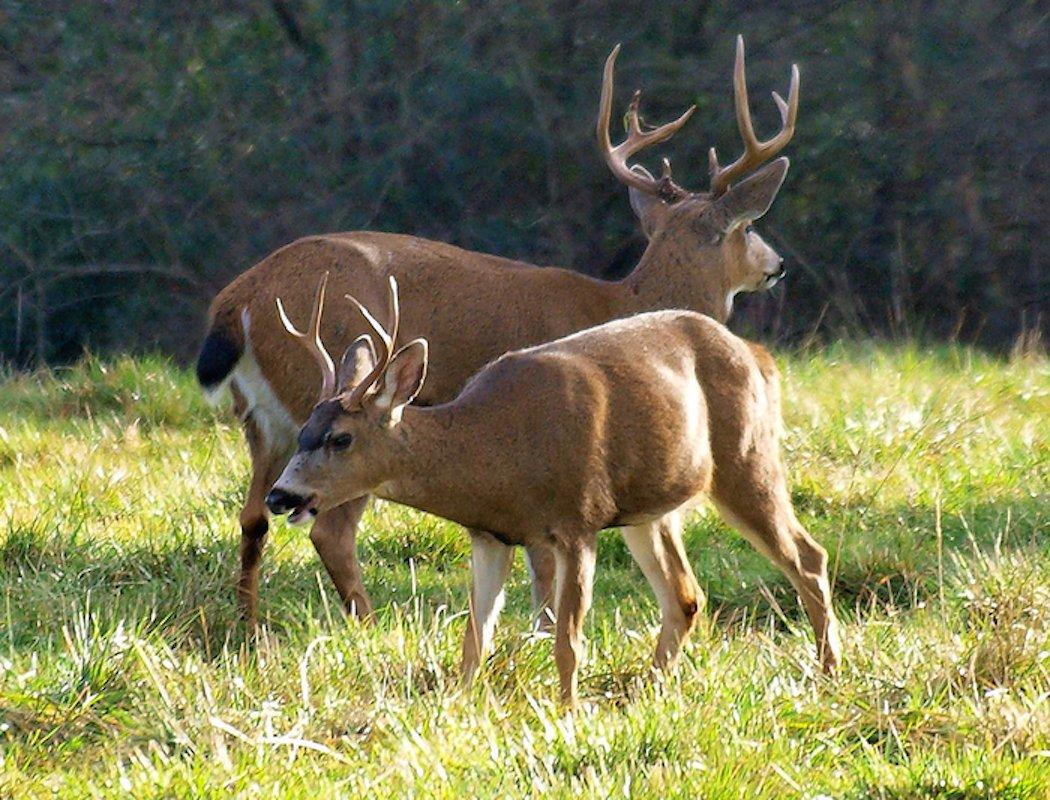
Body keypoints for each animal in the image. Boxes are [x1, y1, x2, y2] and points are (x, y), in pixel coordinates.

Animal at [197, 35, 797, 621]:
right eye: (749, 228)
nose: (778, 264)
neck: (626, 299)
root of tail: (238, 298)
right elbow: (544, 565)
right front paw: (538, 624)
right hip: (335, 405)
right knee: (329, 526)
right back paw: (365, 622)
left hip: (264, 420)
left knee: (254, 516)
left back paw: (249, 628)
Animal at [264, 277, 844, 701]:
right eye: (303, 430)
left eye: (341, 438)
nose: (279, 496)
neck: (494, 452)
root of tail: (758, 354)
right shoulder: (490, 534)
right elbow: (475, 637)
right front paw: (460, 704)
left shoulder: (576, 519)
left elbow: (567, 640)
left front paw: (567, 710)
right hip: (648, 510)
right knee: (686, 596)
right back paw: (649, 688)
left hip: (746, 458)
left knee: (807, 556)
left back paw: (829, 673)